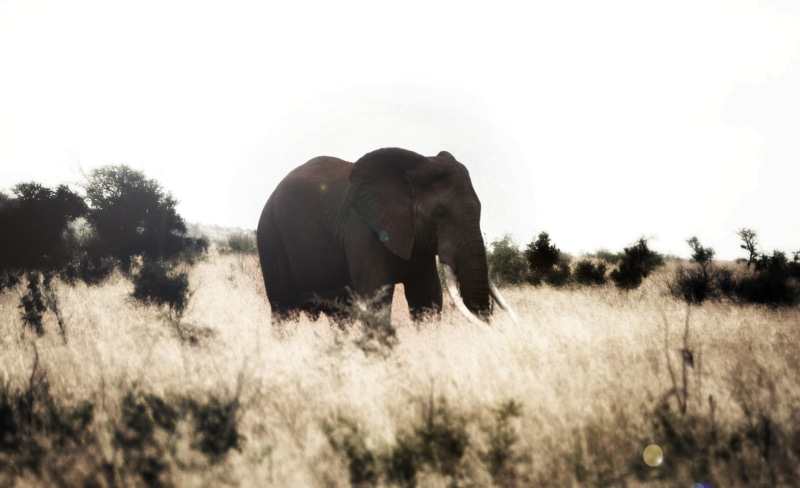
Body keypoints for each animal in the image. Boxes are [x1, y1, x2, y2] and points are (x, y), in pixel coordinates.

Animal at [256, 147, 517, 325]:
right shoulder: (362, 231)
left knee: (340, 316)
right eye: (440, 213)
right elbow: (376, 301)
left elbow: (427, 298)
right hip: (270, 237)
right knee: (284, 309)